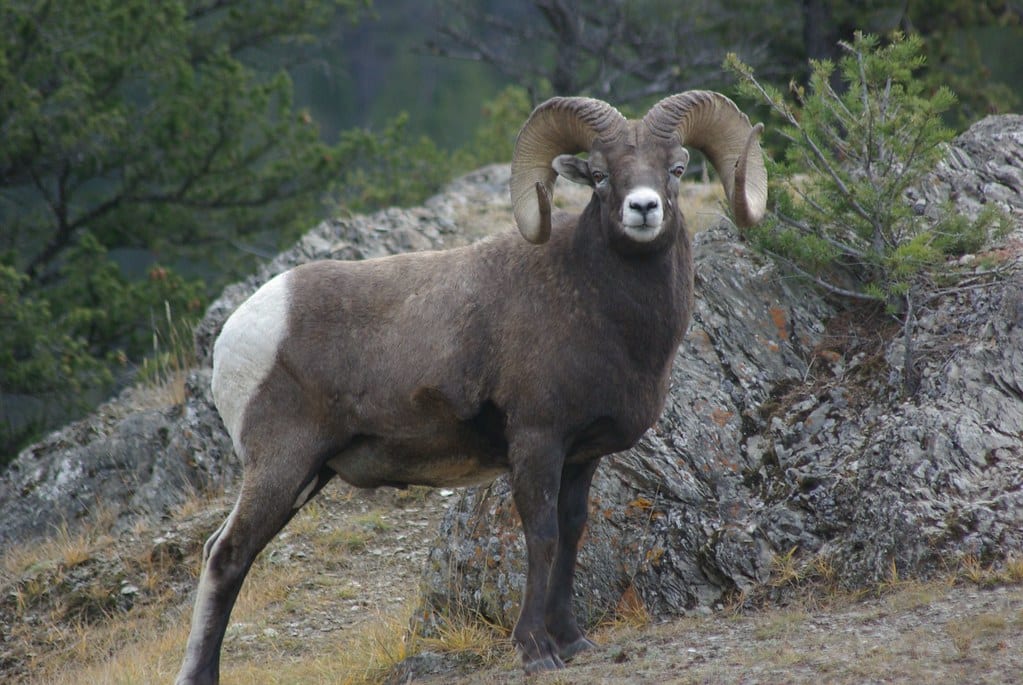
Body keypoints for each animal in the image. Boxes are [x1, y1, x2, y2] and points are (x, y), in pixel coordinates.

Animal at [175, 90, 766, 684]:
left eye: (677, 168)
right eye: (600, 175)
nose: (643, 209)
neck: (598, 306)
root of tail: (238, 332)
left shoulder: (581, 456)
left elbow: (572, 532)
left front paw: (573, 641)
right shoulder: (537, 443)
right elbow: (542, 536)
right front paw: (536, 650)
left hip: (308, 475)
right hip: (282, 465)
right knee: (227, 556)